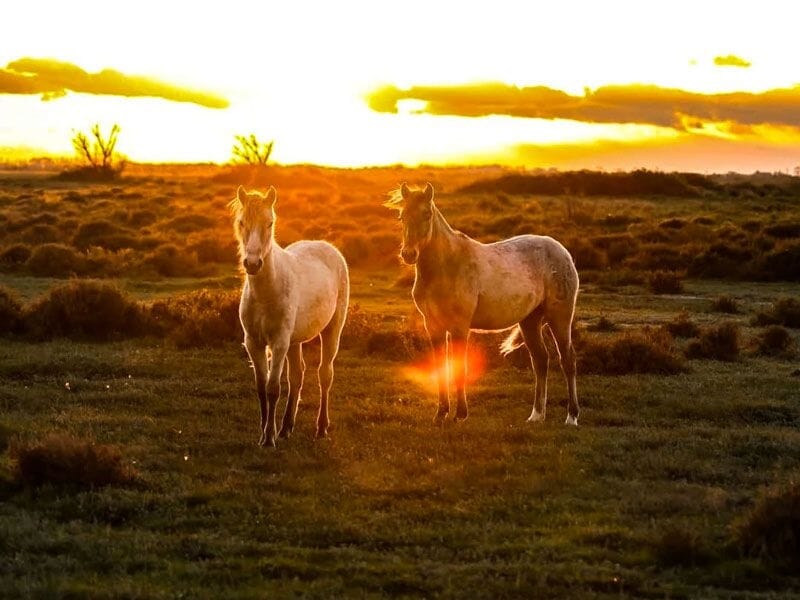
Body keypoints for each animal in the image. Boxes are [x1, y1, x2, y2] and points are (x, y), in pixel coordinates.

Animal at [231, 185, 350, 447]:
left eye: (270, 223)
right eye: (242, 222)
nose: (252, 263)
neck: (266, 292)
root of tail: (328, 247)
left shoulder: (279, 343)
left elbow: (273, 388)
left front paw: (268, 438)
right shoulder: (253, 342)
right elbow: (261, 387)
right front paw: (266, 432)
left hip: (331, 330)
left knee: (325, 374)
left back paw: (321, 427)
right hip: (295, 342)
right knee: (297, 376)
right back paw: (286, 427)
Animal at [386, 182, 580, 426]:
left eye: (426, 214)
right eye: (401, 216)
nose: (409, 254)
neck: (446, 266)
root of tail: (563, 251)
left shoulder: (460, 327)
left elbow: (460, 367)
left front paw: (460, 414)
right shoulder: (434, 327)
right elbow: (441, 367)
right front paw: (441, 413)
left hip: (559, 317)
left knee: (568, 360)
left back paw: (571, 417)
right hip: (530, 321)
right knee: (540, 360)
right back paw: (536, 415)